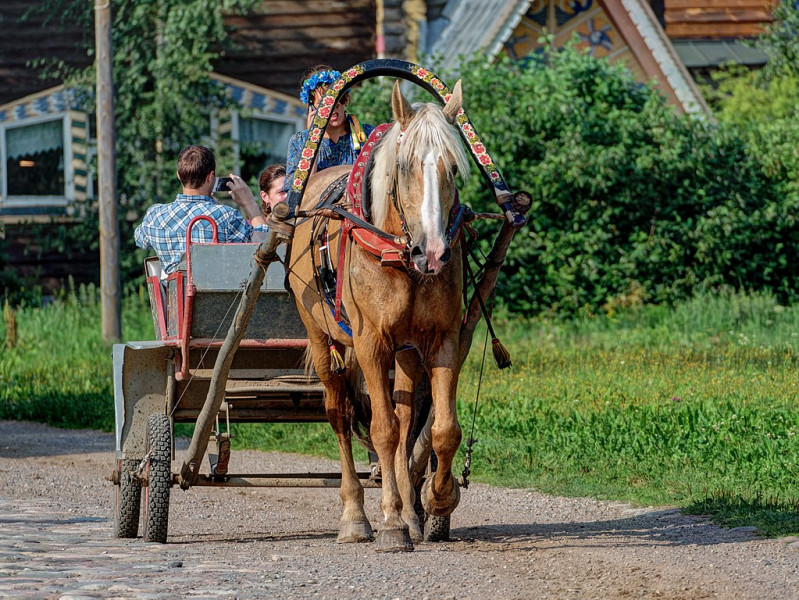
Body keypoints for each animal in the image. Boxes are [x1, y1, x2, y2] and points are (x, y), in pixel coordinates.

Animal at [288, 79, 472, 552]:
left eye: (453, 167)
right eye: (405, 167)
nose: (433, 253)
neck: (399, 255)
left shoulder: (442, 340)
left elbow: (441, 429)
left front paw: (436, 498)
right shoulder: (370, 343)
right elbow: (383, 430)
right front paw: (389, 521)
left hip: (406, 350)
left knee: (408, 419)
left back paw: (410, 512)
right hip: (322, 339)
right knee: (339, 413)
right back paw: (356, 516)